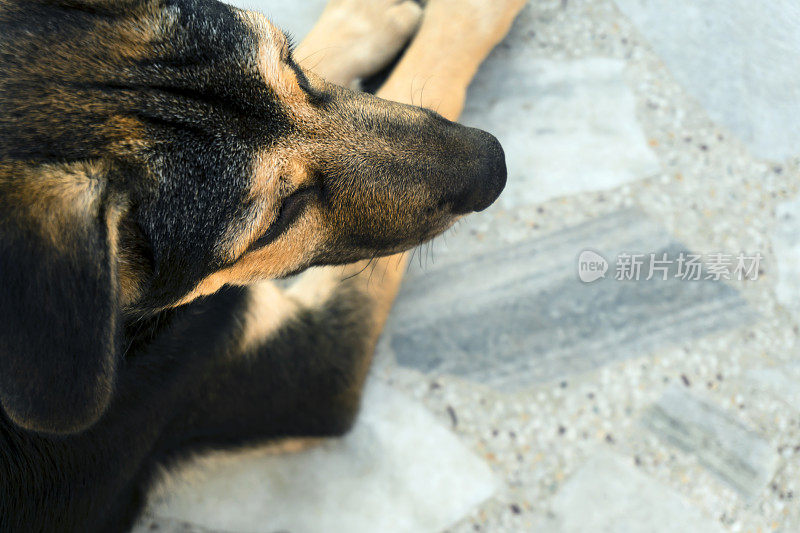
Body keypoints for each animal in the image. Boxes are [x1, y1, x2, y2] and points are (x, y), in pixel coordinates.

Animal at [0, 0, 524, 528]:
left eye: (291, 65)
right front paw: (475, 11)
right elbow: (437, 63)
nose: (494, 164)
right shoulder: (308, 369)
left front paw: (370, 17)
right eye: (278, 220)